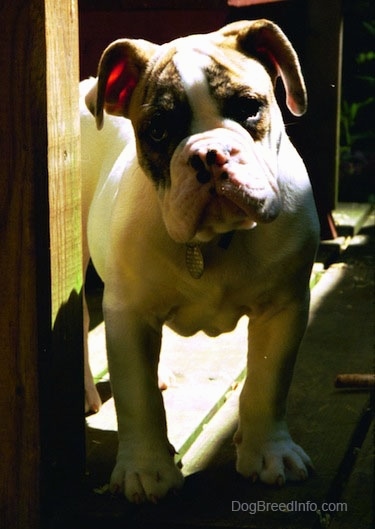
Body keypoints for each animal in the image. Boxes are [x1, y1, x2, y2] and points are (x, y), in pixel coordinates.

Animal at [80, 19, 320, 504]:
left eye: (249, 108)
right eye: (157, 131)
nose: (209, 153)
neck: (214, 240)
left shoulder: (284, 308)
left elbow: (267, 383)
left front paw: (270, 452)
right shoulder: (128, 313)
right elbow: (137, 399)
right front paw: (145, 469)